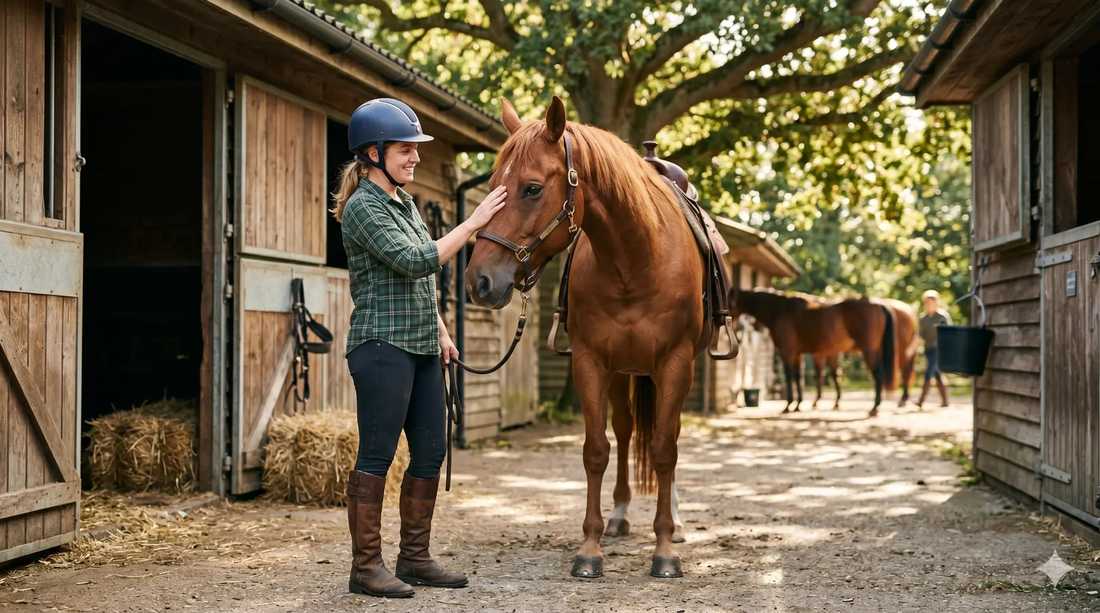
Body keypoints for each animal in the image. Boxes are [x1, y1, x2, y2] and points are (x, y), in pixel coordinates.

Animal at [465, 97, 715, 579]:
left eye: (531, 189)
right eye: (491, 185)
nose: (479, 281)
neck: (634, 262)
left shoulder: (676, 363)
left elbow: (665, 449)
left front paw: (665, 549)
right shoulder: (591, 361)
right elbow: (597, 449)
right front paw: (590, 548)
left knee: (666, 436)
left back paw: (675, 521)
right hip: (623, 371)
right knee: (625, 428)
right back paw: (619, 515)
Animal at [730, 289, 896, 416]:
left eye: (729, 300)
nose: (735, 327)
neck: (780, 311)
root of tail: (877, 304)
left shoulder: (787, 352)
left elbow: (789, 377)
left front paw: (788, 405)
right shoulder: (798, 354)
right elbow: (798, 377)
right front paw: (797, 405)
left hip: (869, 350)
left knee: (878, 374)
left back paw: (874, 407)